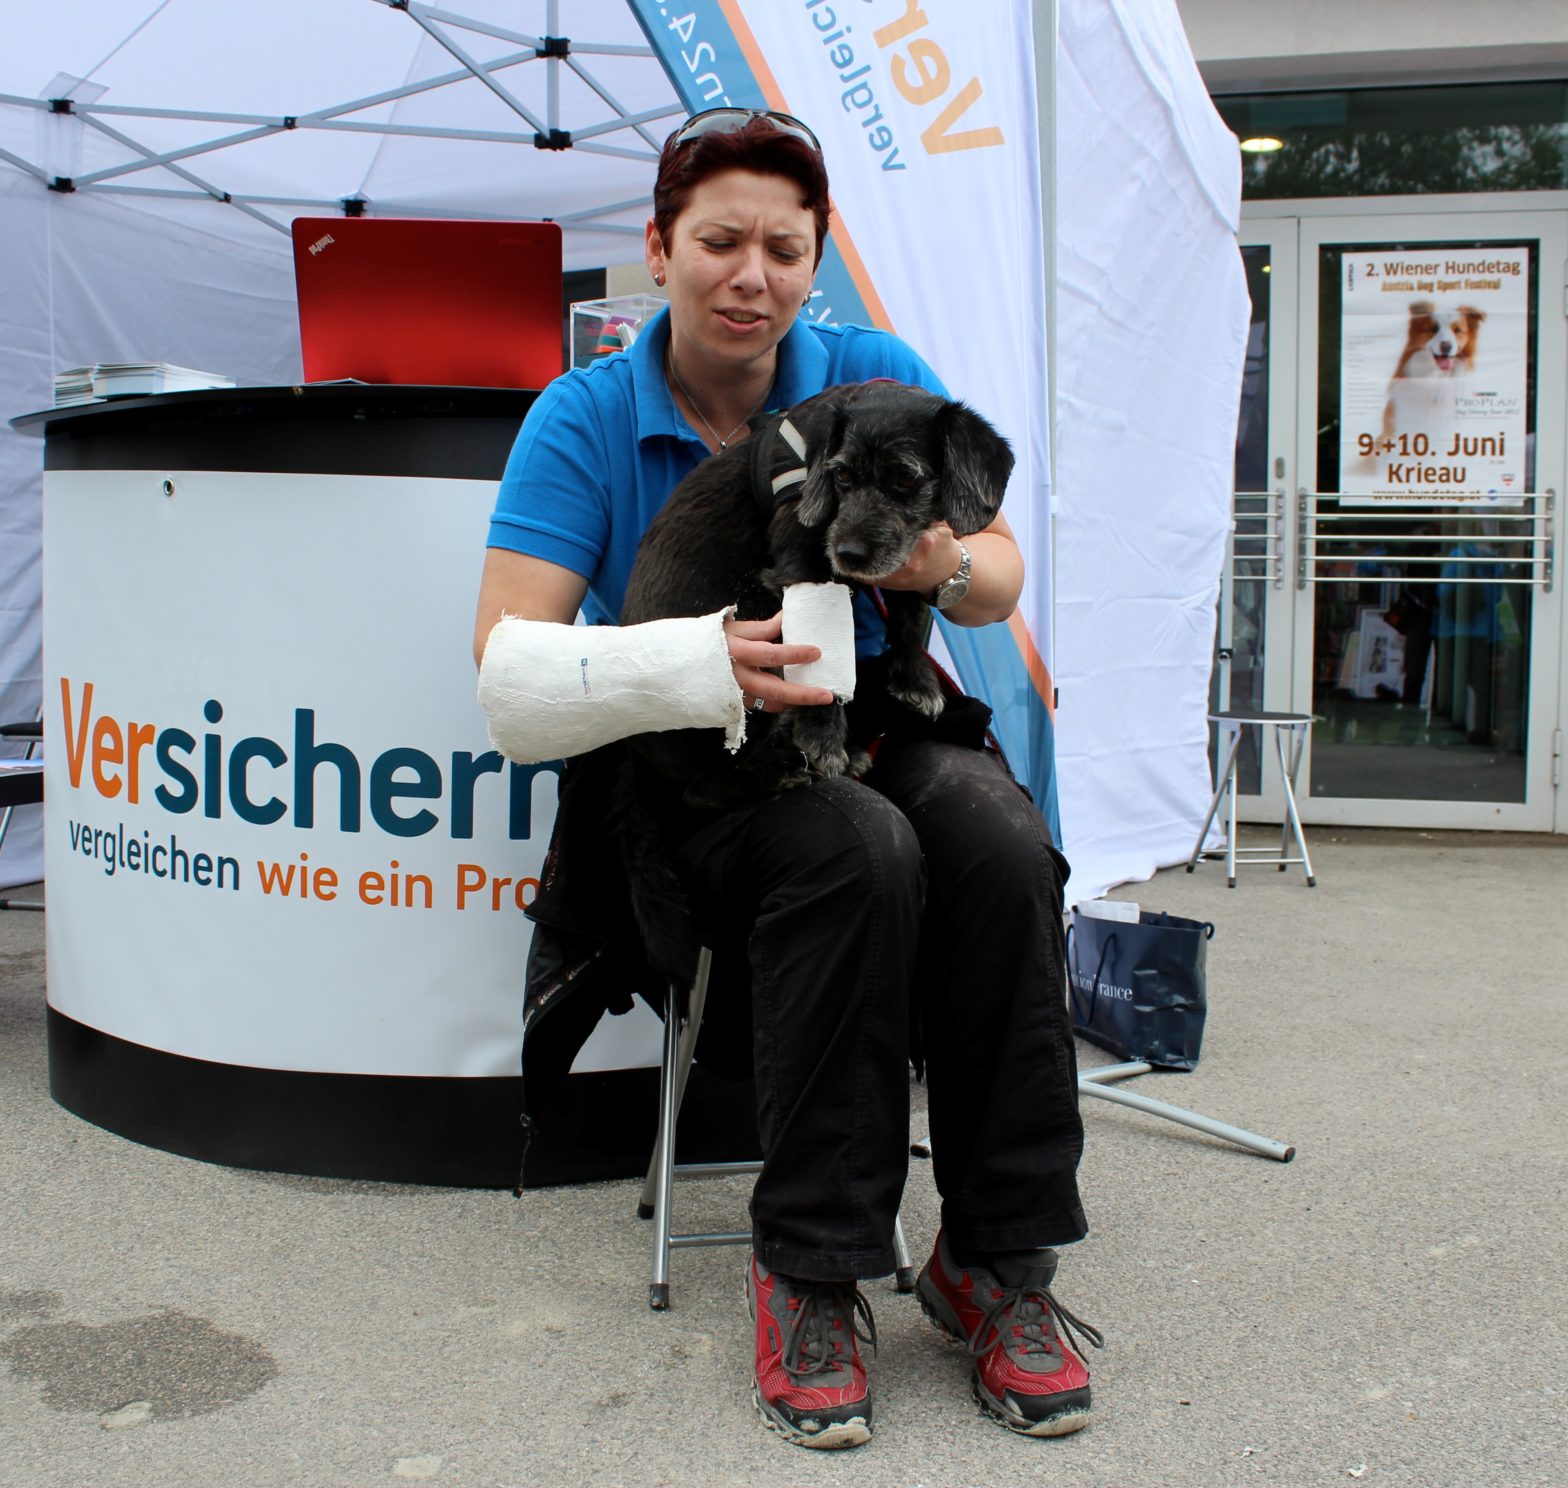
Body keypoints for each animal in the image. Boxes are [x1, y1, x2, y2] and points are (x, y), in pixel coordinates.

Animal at [620, 380, 1013, 806]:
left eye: (906, 477)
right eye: (841, 474)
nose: (849, 554)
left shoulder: (908, 563)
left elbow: (910, 618)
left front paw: (915, 684)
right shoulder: (802, 571)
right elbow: (820, 665)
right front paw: (823, 741)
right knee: (702, 788)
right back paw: (778, 774)